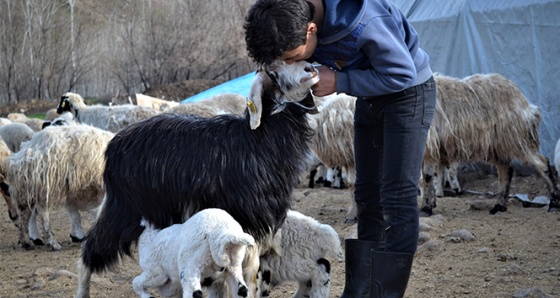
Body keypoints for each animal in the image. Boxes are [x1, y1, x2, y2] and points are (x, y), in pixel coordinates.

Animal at [74, 60, 320, 298]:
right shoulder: (244, 220)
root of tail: (115, 144)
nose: (311, 68)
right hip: (124, 209)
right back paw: (82, 291)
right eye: (274, 71)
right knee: (92, 248)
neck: (259, 140)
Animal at [422, 73, 556, 215]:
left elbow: (427, 177)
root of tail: (525, 102)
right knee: (505, 170)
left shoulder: (428, 146)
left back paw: (554, 203)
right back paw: (499, 206)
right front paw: (429, 204)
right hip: (499, 145)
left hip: (517, 139)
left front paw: (426, 208)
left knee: (542, 163)